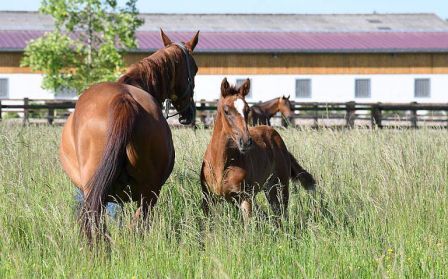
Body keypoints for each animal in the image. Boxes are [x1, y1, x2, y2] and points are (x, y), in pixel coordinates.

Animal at [201, 79, 314, 223]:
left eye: (247, 110)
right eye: (226, 111)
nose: (246, 141)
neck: (221, 163)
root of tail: (274, 134)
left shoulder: (245, 197)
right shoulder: (208, 199)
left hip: (279, 187)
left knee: (281, 215)